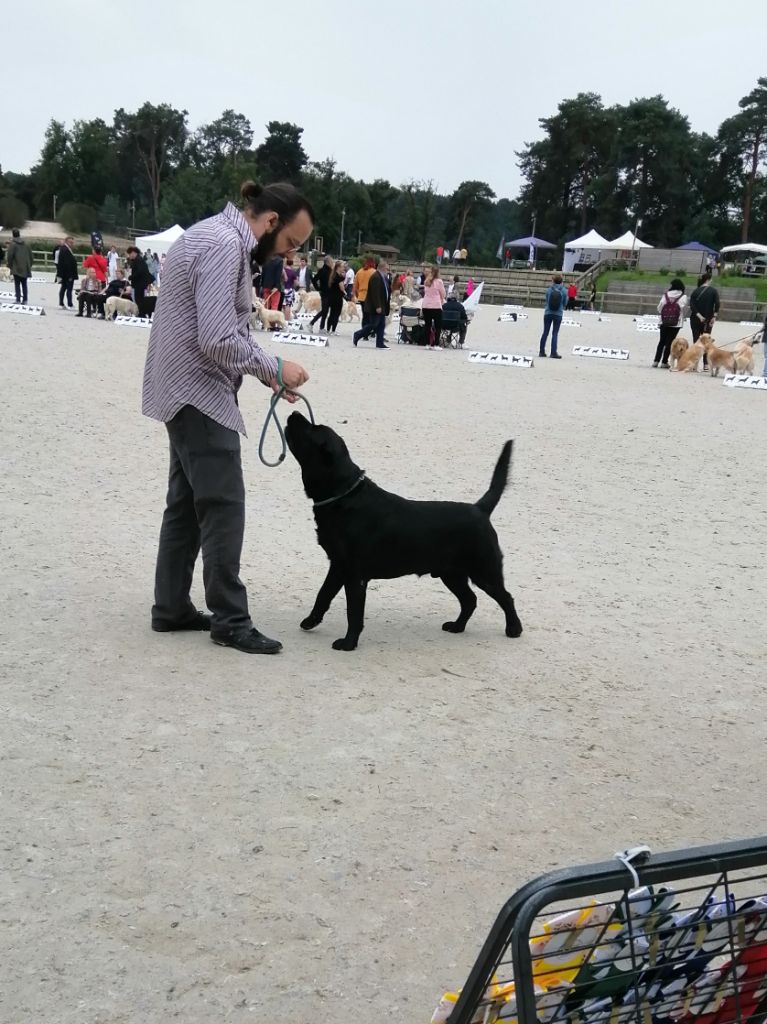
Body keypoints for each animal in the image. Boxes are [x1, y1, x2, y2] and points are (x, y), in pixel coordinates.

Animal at [284, 407, 524, 647]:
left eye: (312, 429)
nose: (294, 412)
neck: (344, 495)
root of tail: (480, 508)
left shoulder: (354, 574)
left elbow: (353, 612)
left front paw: (348, 643)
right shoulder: (338, 565)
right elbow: (323, 594)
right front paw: (311, 621)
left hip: (484, 571)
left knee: (505, 597)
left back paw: (514, 628)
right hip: (451, 573)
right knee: (470, 600)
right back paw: (457, 626)